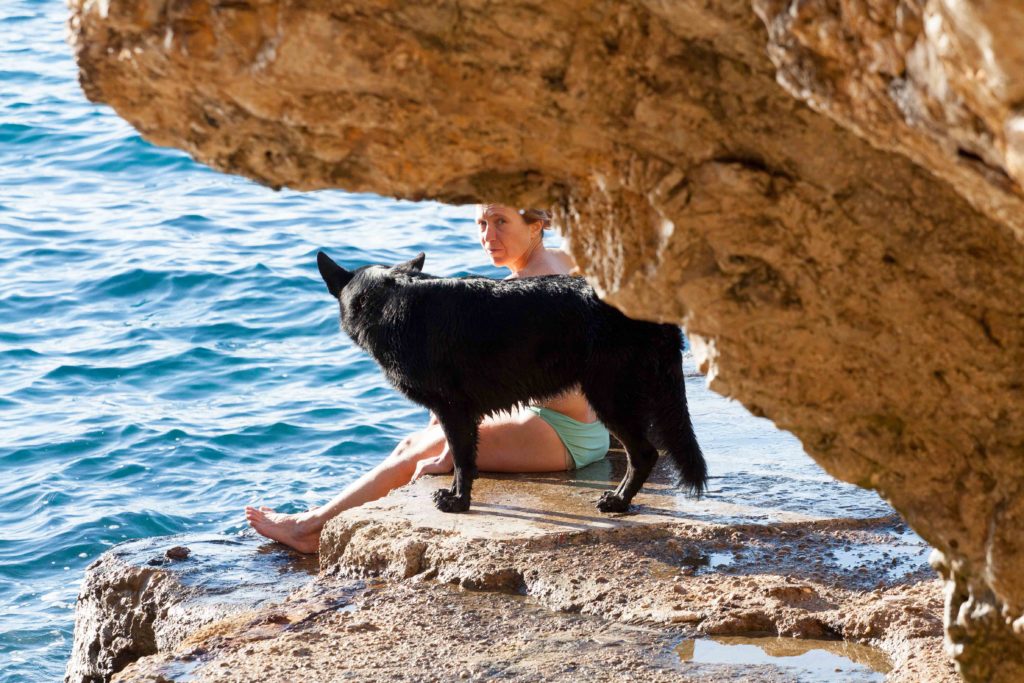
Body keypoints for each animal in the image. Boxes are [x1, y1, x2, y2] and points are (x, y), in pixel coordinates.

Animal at [317, 250, 704, 511]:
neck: (391, 302)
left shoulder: (453, 411)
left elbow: (461, 460)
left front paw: (458, 502)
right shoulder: (463, 416)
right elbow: (465, 460)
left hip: (610, 399)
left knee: (644, 453)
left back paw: (619, 502)